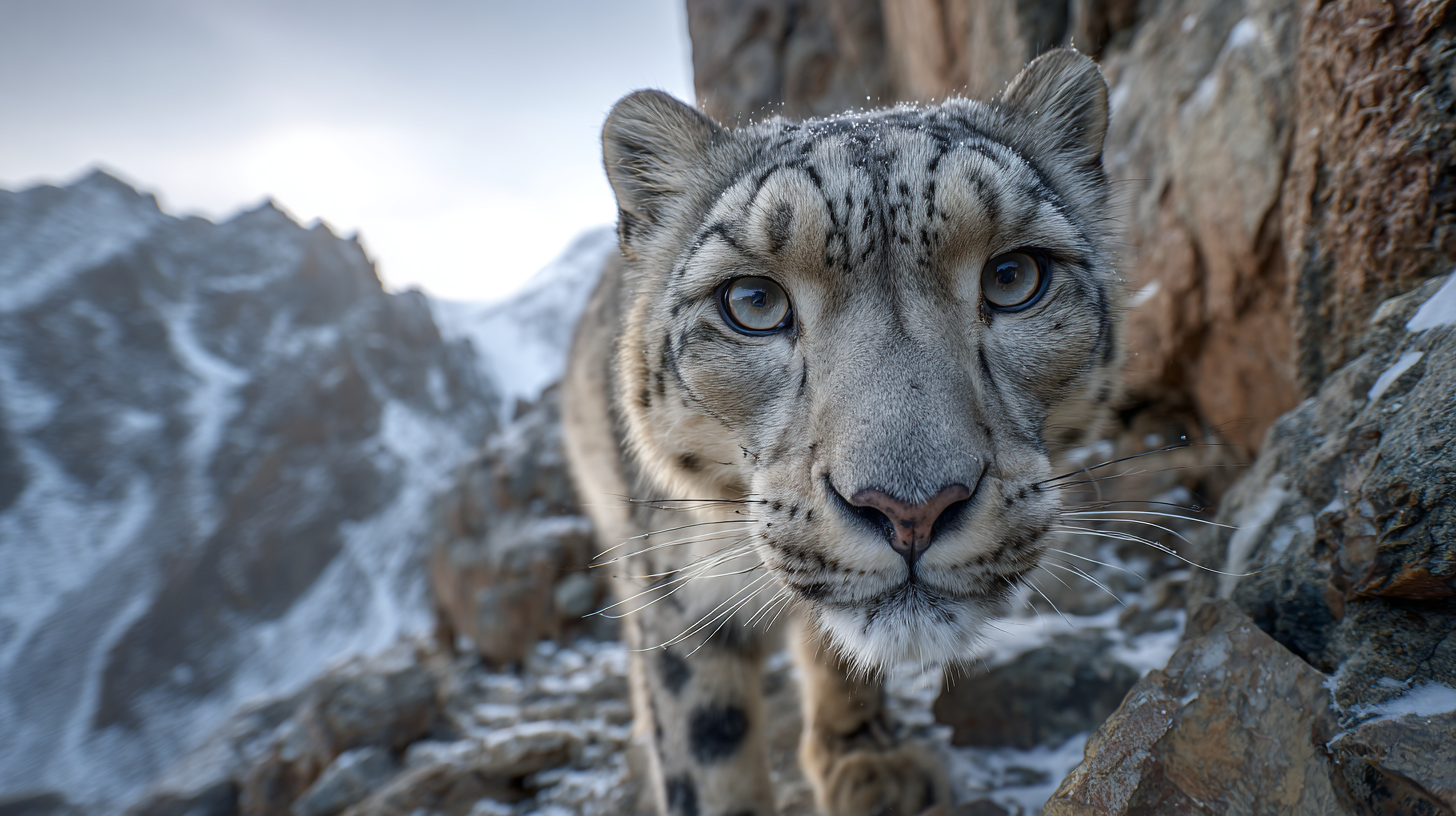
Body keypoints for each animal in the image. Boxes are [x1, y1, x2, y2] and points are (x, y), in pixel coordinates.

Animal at [562, 48, 1119, 816]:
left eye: (1013, 276)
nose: (913, 510)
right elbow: (707, 745)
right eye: (752, 301)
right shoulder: (678, 588)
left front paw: (870, 760)